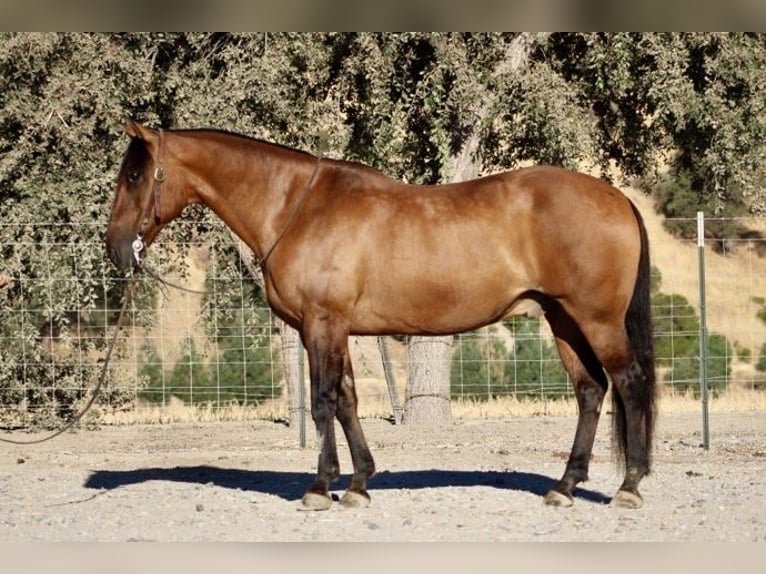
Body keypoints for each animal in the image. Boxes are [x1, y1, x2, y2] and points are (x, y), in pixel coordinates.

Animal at [106, 121, 656, 510]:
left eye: (134, 175)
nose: (115, 248)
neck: (297, 207)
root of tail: (617, 199)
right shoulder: (335, 329)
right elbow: (347, 401)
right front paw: (358, 483)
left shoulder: (322, 324)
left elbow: (323, 402)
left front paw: (319, 486)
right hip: (563, 320)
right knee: (591, 390)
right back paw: (565, 486)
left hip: (596, 320)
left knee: (628, 382)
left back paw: (629, 486)